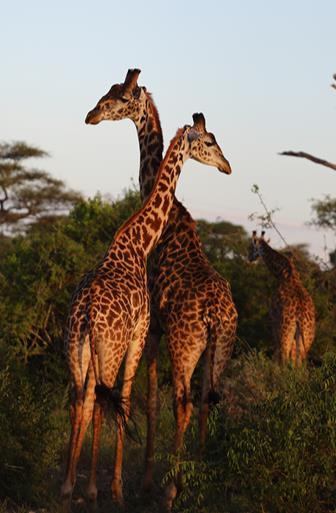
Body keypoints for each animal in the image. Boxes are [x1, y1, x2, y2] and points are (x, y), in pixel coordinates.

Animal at [60, 104, 231, 508]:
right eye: (210, 141)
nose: (227, 165)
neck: (138, 242)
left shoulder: (140, 334)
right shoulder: (143, 332)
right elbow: (134, 399)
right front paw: (122, 486)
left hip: (79, 348)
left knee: (81, 398)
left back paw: (69, 486)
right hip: (142, 347)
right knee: (171, 401)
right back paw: (162, 489)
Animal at [247, 230, 316, 366]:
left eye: (251, 247)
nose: (249, 258)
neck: (283, 274)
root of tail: (300, 318)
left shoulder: (274, 320)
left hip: (286, 333)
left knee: (284, 358)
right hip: (306, 339)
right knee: (299, 362)